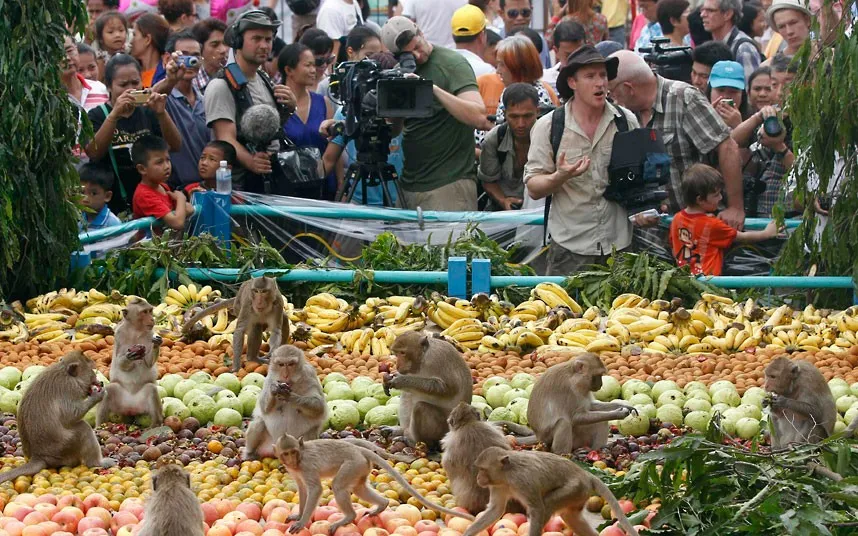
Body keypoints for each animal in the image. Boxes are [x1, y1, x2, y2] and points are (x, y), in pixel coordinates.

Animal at [0, 350, 105, 484]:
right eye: (91, 371)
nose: (99, 381)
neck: (63, 371)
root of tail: (38, 456)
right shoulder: (69, 389)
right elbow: (70, 416)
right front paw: (97, 396)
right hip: (64, 448)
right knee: (83, 428)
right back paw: (97, 463)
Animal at [98, 298, 163, 428]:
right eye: (144, 312)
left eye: (150, 311)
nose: (152, 319)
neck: (135, 331)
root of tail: (131, 408)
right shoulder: (119, 334)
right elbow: (119, 361)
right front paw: (129, 357)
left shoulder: (149, 333)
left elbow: (148, 363)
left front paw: (156, 343)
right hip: (119, 404)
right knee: (109, 390)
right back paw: (99, 426)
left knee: (151, 389)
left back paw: (155, 425)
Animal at [276, 434, 474, 532]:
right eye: (286, 453)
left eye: (293, 451)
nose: (291, 460)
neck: (300, 459)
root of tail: (360, 450)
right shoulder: (296, 471)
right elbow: (302, 489)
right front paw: (298, 515)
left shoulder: (306, 466)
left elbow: (315, 489)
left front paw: (302, 522)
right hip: (360, 467)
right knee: (358, 488)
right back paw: (382, 505)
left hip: (352, 464)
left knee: (339, 486)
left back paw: (348, 517)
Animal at [462, 446, 636, 536]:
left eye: (482, 469)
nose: (478, 478)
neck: (507, 475)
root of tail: (585, 474)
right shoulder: (498, 485)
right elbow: (495, 510)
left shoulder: (524, 481)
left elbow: (537, 509)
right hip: (579, 494)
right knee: (571, 517)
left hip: (575, 488)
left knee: (548, 503)